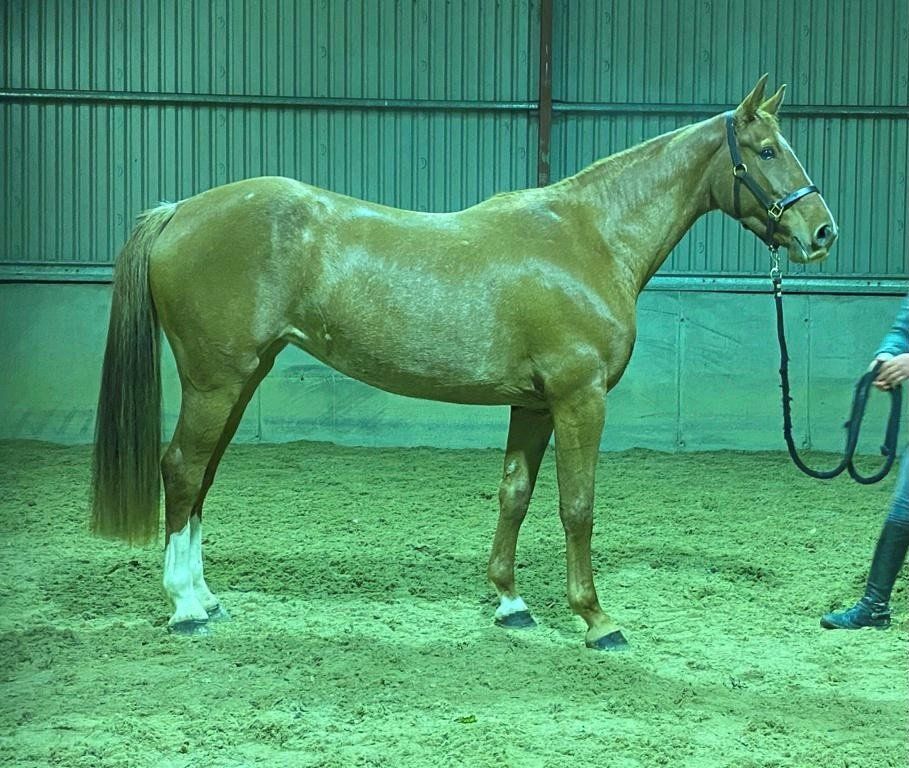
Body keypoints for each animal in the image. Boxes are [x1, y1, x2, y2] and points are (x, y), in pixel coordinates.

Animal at [91, 75, 837, 650]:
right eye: (767, 150)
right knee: (182, 469)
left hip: (242, 377)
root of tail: (179, 210)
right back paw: (185, 609)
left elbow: (515, 495)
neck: (588, 238)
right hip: (216, 380)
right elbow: (577, 506)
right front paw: (596, 620)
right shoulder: (579, 397)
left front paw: (510, 603)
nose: (821, 232)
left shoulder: (533, 403)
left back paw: (205, 597)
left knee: (202, 478)